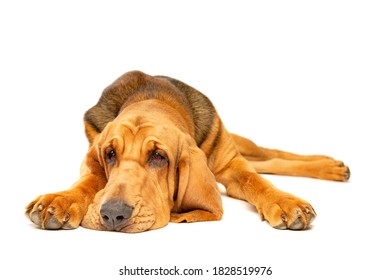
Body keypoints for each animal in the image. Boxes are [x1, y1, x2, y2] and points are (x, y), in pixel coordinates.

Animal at [25, 71, 352, 233]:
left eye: (159, 157)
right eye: (110, 154)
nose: (113, 215)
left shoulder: (233, 166)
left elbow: (256, 181)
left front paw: (286, 202)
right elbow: (89, 181)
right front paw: (60, 201)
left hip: (237, 146)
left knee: (270, 156)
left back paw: (331, 166)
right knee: (269, 161)